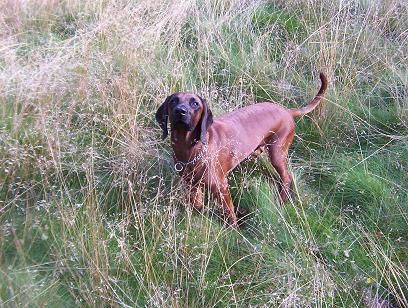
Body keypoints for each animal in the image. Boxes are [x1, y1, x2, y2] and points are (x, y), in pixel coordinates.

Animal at [156, 72, 328, 226]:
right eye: (173, 101)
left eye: (195, 104)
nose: (180, 111)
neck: (191, 148)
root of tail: (287, 111)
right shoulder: (191, 183)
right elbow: (196, 204)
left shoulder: (221, 187)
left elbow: (230, 213)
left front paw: (234, 230)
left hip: (277, 153)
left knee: (286, 178)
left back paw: (280, 201)